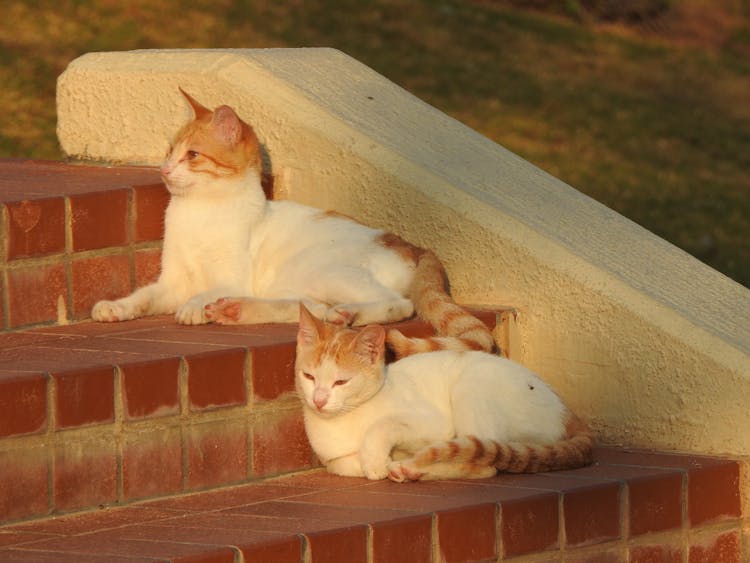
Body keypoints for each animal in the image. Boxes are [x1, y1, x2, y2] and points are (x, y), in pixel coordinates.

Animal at [91, 90, 496, 356]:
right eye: (168, 151)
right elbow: (143, 297)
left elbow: (204, 291)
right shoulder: (171, 281)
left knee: (398, 305)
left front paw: (195, 306)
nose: (163, 170)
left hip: (325, 270)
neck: (198, 212)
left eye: (192, 155)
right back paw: (237, 311)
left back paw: (347, 313)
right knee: (308, 309)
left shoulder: (230, 277)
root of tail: (414, 245)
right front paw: (117, 307)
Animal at [296, 306, 596, 482]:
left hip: (471, 386)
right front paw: (376, 462)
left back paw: (413, 468)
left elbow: (383, 425)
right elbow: (344, 464)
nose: (319, 400)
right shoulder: (333, 459)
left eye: (341, 382)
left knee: (484, 462)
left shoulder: (435, 423)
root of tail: (566, 410)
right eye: (309, 376)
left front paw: (377, 461)